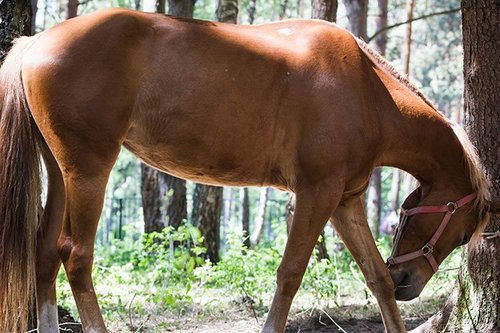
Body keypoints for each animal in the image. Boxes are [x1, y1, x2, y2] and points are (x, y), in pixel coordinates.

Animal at [0, 7, 496, 332]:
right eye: (461, 232)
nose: (406, 280)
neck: (366, 89)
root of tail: (35, 42)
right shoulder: (317, 193)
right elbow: (290, 273)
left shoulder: (345, 201)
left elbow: (374, 277)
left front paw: (388, 287)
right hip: (88, 172)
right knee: (76, 257)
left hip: (60, 174)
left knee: (45, 256)